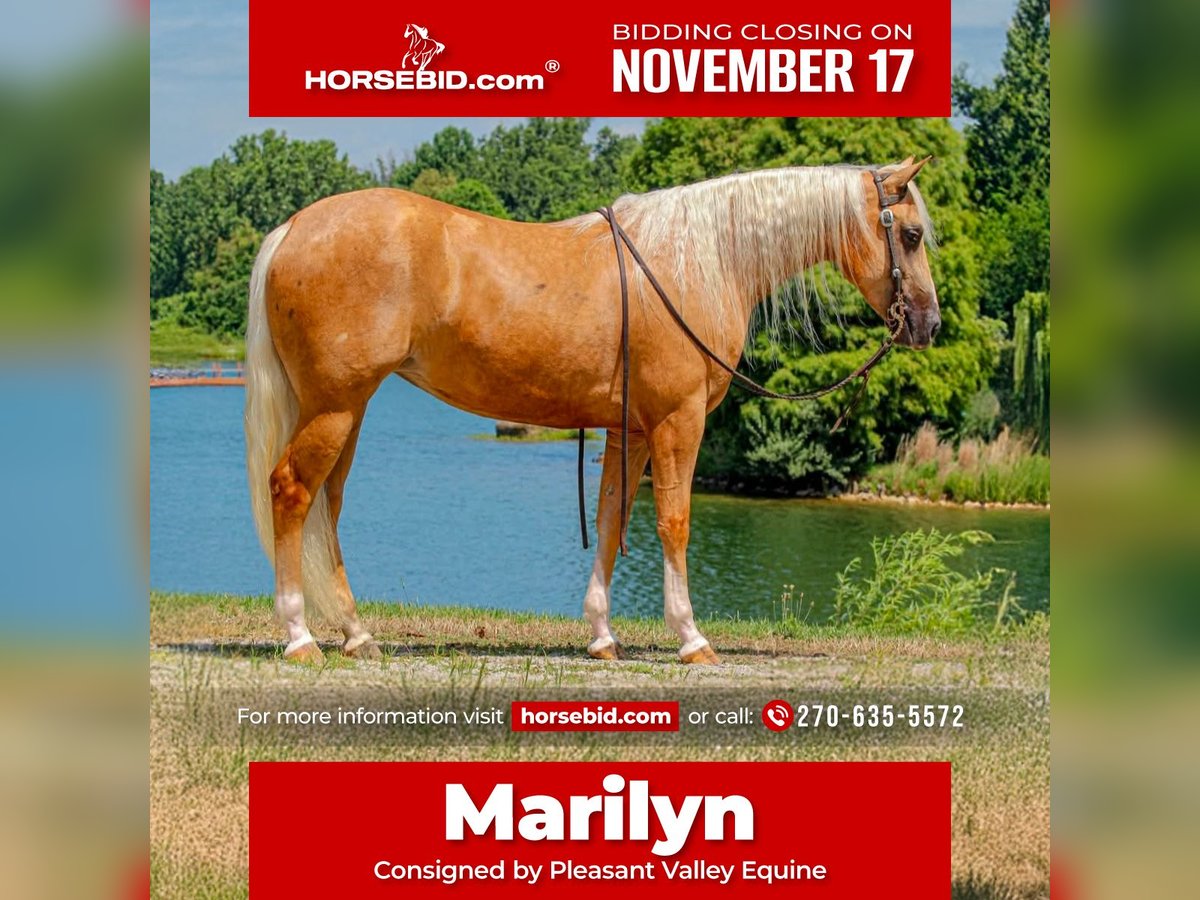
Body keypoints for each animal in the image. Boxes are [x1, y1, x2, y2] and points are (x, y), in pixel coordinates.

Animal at [243, 157, 940, 666]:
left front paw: (603, 637)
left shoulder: (627, 429)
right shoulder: (677, 422)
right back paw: (300, 637)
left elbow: (610, 521)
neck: (698, 261)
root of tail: (293, 228)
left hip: (345, 411)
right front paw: (692, 639)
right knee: (292, 492)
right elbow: (674, 523)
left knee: (327, 508)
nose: (928, 325)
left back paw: (356, 634)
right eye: (909, 235)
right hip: (334, 408)